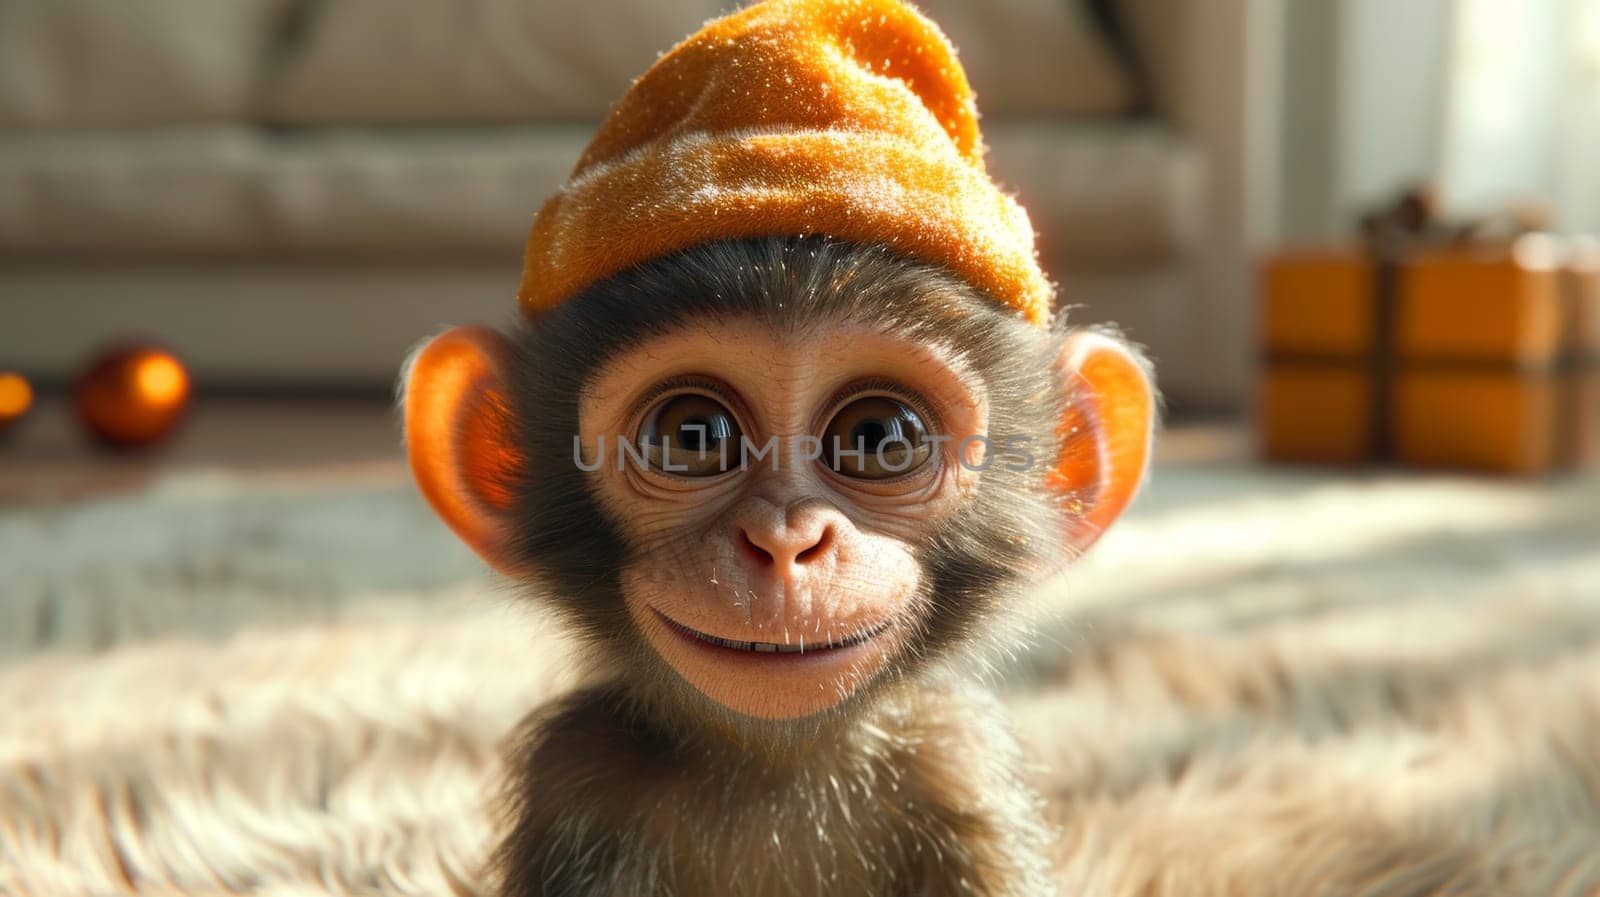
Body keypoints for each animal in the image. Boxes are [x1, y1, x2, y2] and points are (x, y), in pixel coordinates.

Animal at [396, 1, 1152, 895]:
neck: (775, 774)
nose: (786, 539)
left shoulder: (956, 767)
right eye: (691, 433)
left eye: (879, 436)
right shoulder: (576, 778)